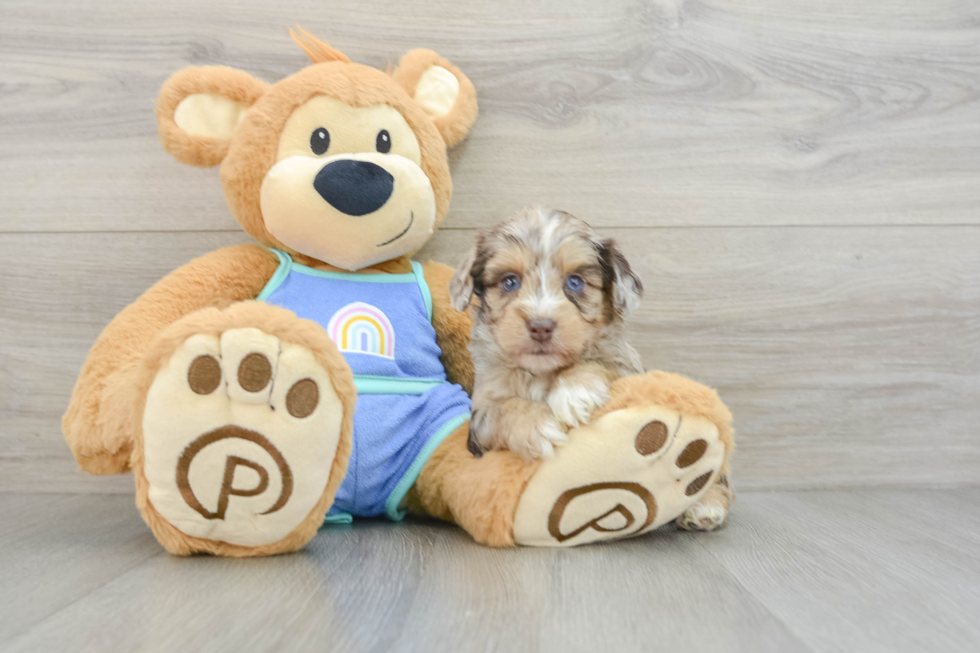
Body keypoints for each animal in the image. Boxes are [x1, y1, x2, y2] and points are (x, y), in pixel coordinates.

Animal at [450, 208, 648, 458]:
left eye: (575, 282)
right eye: (509, 281)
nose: (540, 327)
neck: (539, 372)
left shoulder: (628, 366)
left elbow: (601, 361)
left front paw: (575, 391)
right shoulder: (480, 415)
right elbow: (498, 410)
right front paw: (539, 424)